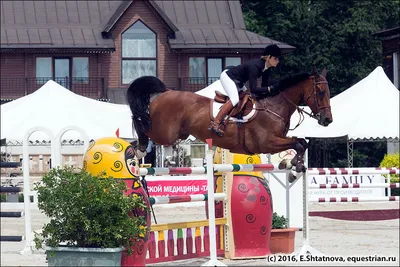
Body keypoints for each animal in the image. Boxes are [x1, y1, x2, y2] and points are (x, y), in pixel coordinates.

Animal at [126, 67, 332, 180]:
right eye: (321, 92)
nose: (327, 120)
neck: (275, 105)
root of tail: (166, 92)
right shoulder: (266, 143)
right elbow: (298, 143)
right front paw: (293, 168)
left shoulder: (278, 139)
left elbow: (301, 143)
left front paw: (293, 166)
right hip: (165, 133)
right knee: (142, 124)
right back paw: (138, 149)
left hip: (177, 133)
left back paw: (136, 149)